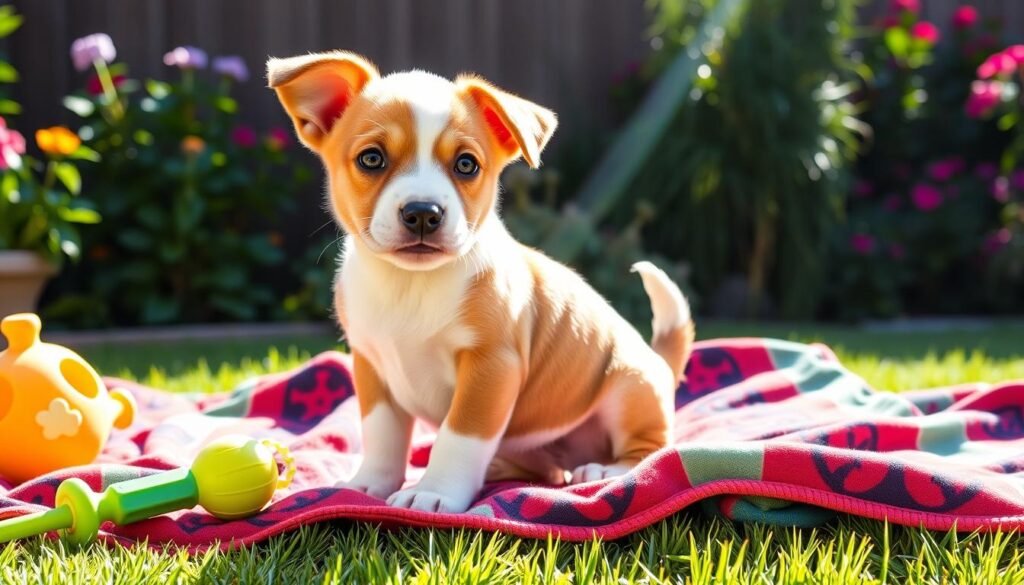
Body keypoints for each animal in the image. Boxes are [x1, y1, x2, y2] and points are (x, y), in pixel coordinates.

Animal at [268, 52, 696, 514]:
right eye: (371, 159)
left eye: (466, 164)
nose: (423, 212)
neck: (409, 284)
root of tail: (659, 363)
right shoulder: (371, 366)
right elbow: (382, 433)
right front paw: (369, 484)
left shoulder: (490, 367)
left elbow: (459, 436)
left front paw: (433, 491)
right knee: (547, 470)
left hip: (629, 386)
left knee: (651, 448)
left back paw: (606, 470)